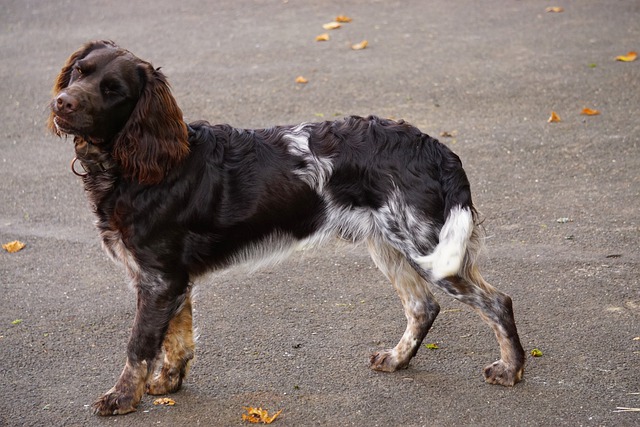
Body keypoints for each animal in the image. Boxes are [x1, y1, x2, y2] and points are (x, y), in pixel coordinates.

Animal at [47, 40, 524, 414]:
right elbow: (177, 338)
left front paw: (122, 398)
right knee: (423, 307)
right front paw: (167, 383)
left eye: (114, 90)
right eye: (80, 71)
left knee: (497, 302)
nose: (62, 102)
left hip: (427, 249)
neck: (141, 164)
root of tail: (436, 148)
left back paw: (511, 369)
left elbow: (139, 345)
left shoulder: (158, 278)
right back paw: (397, 359)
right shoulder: (172, 279)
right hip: (390, 245)